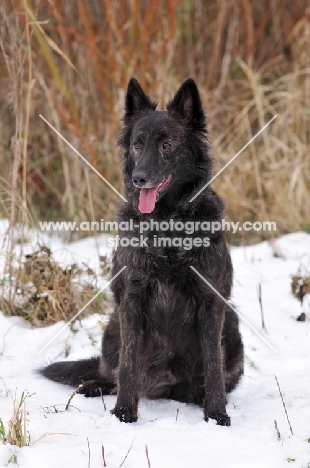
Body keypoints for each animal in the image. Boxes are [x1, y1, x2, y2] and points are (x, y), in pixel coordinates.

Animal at [41, 78, 245, 426]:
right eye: (137, 145)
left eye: (167, 146)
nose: (139, 178)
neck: (166, 228)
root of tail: (167, 382)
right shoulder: (132, 302)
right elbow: (128, 365)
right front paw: (124, 411)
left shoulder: (211, 304)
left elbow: (213, 367)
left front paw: (217, 414)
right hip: (113, 326)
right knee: (110, 372)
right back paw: (94, 387)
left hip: (230, 323)